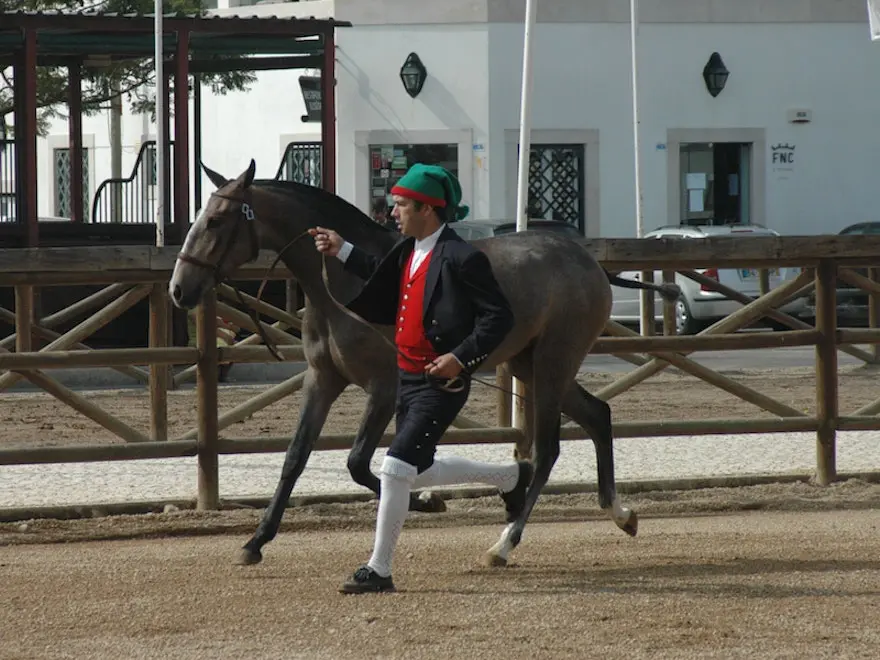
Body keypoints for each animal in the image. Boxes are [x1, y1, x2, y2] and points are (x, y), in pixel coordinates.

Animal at [167, 160, 672, 568]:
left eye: (216, 221)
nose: (178, 289)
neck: (346, 287)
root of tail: (587, 260)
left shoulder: (384, 386)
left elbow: (359, 462)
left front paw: (427, 500)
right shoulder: (323, 379)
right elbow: (295, 457)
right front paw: (255, 541)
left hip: (553, 362)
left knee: (548, 449)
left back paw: (504, 543)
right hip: (531, 365)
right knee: (596, 416)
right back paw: (618, 513)